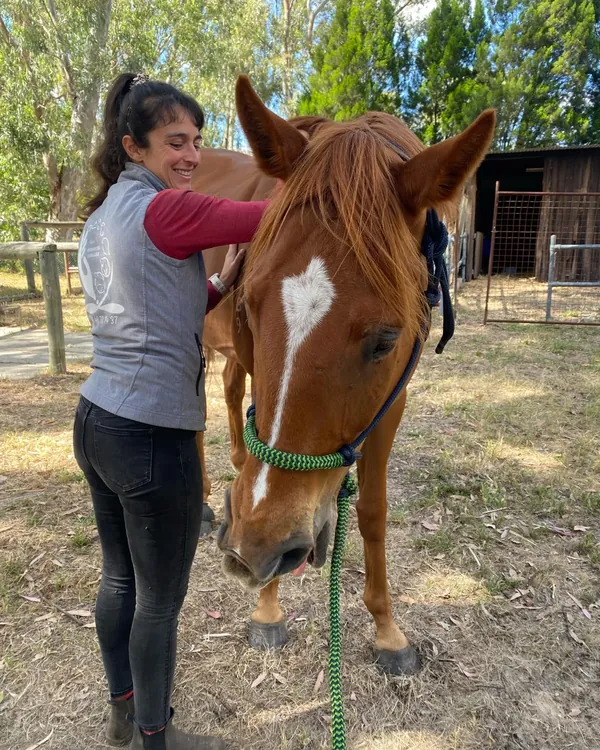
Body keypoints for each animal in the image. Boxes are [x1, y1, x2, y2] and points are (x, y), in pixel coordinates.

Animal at [205, 76, 495, 674]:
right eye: (249, 304)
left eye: (385, 340)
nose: (253, 548)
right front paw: (268, 607)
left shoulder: (391, 403)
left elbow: (372, 513)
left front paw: (387, 630)